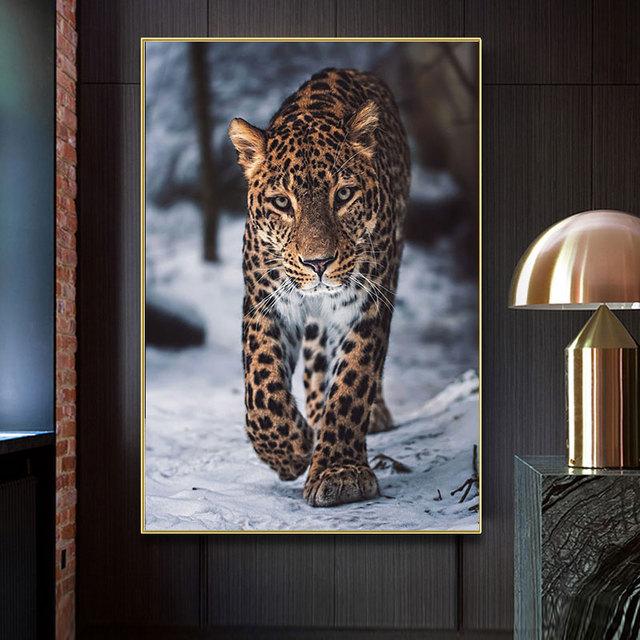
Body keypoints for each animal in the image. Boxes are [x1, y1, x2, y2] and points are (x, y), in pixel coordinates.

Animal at [228, 67, 410, 507]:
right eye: (281, 202)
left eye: (343, 194)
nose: (318, 263)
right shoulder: (265, 300)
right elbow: (261, 386)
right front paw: (290, 450)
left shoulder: (367, 302)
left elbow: (353, 381)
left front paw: (339, 471)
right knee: (313, 359)